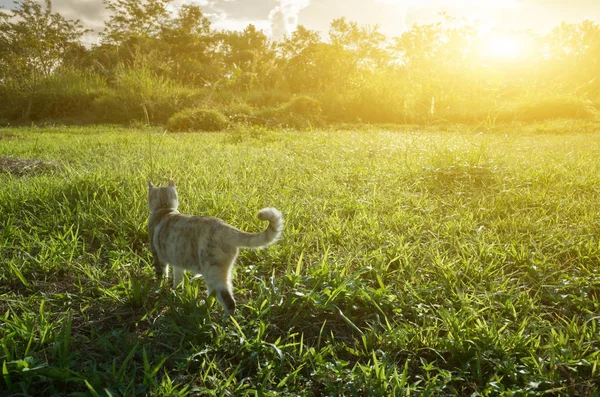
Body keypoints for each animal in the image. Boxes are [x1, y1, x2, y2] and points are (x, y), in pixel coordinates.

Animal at [148, 179, 284, 316]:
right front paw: (176, 293)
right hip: (222, 272)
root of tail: (224, 227)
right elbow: (178, 279)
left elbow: (161, 276)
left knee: (229, 301)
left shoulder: (157, 256)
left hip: (213, 272)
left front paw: (157, 290)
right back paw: (205, 305)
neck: (165, 209)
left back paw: (224, 319)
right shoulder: (177, 262)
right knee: (214, 294)